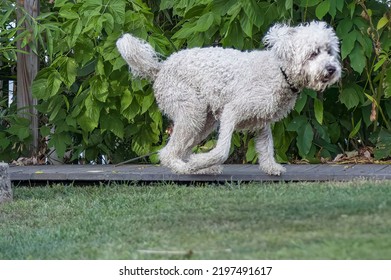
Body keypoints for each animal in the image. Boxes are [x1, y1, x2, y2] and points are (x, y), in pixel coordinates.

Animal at [116, 21, 340, 175]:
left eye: (329, 51)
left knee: (184, 149)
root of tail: (160, 69)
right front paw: (203, 161)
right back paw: (185, 168)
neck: (279, 71)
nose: (332, 69)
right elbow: (222, 150)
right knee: (169, 153)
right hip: (191, 113)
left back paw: (201, 168)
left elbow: (266, 148)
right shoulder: (232, 111)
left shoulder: (261, 122)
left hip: (204, 121)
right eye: (313, 53)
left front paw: (272, 168)